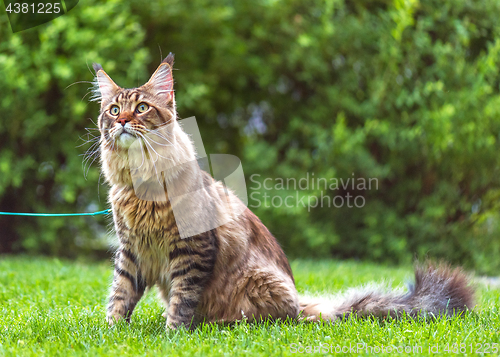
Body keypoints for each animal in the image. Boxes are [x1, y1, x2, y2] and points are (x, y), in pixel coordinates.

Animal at [93, 52, 472, 328]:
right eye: (114, 110)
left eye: (142, 108)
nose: (123, 121)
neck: (140, 182)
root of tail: (304, 304)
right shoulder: (132, 250)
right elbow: (120, 294)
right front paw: (112, 332)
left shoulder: (192, 249)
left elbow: (182, 299)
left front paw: (172, 334)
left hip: (259, 284)